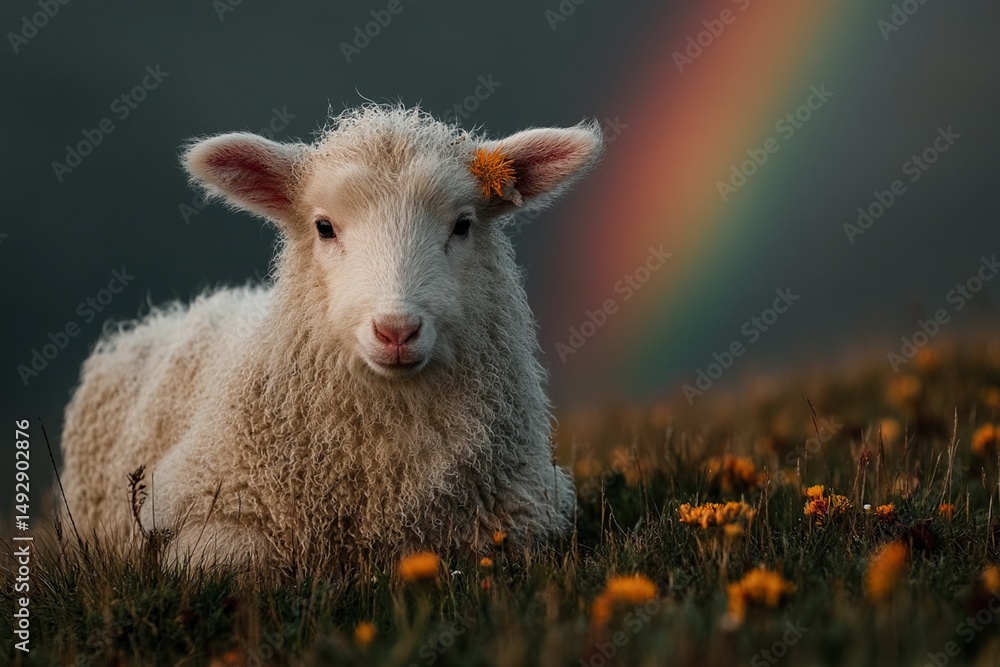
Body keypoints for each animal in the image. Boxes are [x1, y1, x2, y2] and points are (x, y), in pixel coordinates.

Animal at [59, 105, 604, 572]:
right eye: (324, 227)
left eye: (463, 224)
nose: (396, 330)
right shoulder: (198, 504)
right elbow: (235, 559)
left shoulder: (525, 517)